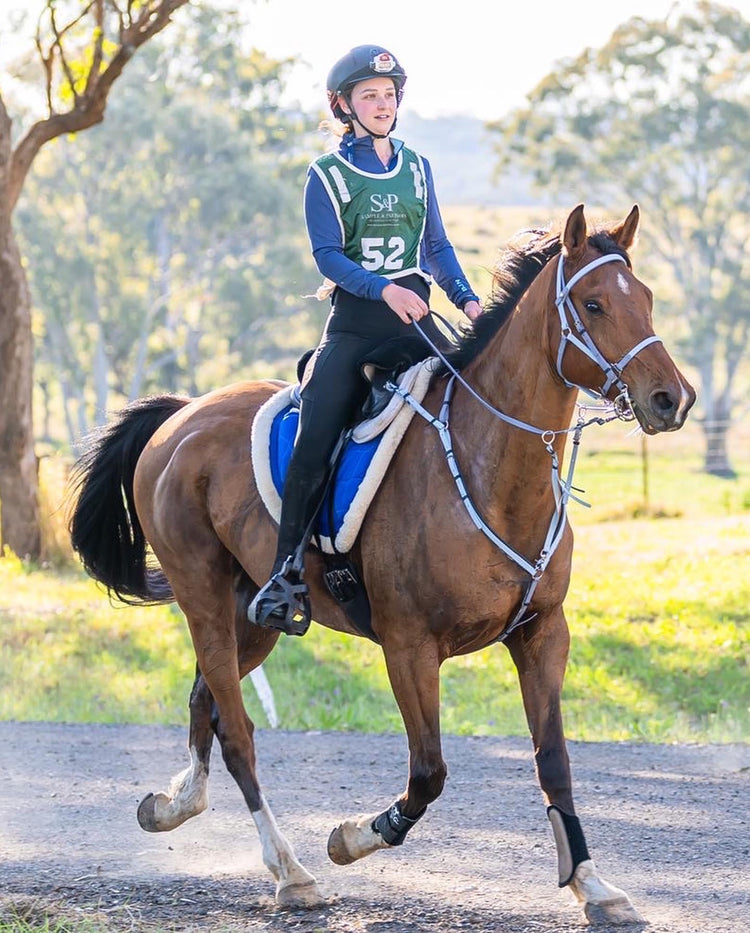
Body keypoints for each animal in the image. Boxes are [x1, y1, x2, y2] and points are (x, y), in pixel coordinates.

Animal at [68, 205, 695, 925]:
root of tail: (183, 416)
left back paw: (175, 805)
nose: (671, 399)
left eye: (645, 297)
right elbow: (428, 771)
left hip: (249, 614)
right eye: (593, 304)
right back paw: (290, 871)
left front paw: (592, 884)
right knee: (239, 732)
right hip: (201, 594)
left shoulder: (543, 633)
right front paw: (352, 837)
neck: (490, 468)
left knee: (207, 702)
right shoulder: (409, 646)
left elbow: (554, 761)